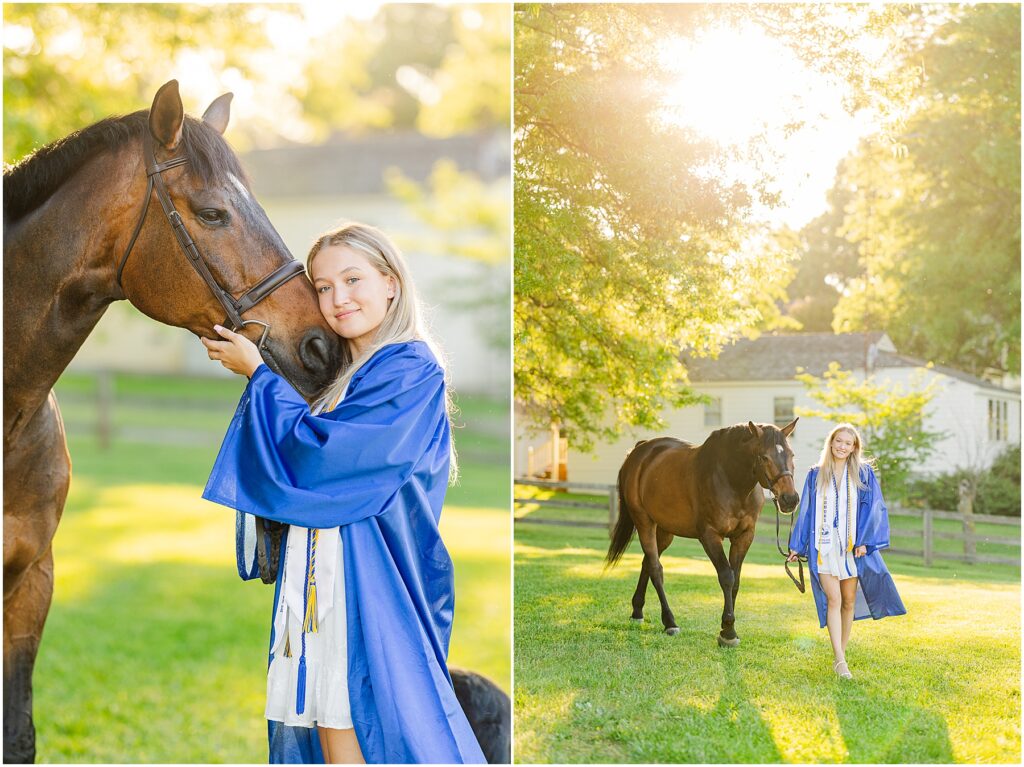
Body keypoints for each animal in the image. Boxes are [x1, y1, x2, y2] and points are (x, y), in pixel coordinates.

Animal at [606, 419, 798, 647]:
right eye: (764, 457)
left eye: (791, 455)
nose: (790, 499)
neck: (731, 481)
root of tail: (641, 450)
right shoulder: (709, 535)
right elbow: (726, 577)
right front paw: (728, 632)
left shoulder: (744, 536)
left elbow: (736, 580)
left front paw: (728, 629)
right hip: (644, 521)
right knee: (655, 568)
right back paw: (669, 622)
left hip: (665, 530)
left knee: (647, 564)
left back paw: (637, 611)